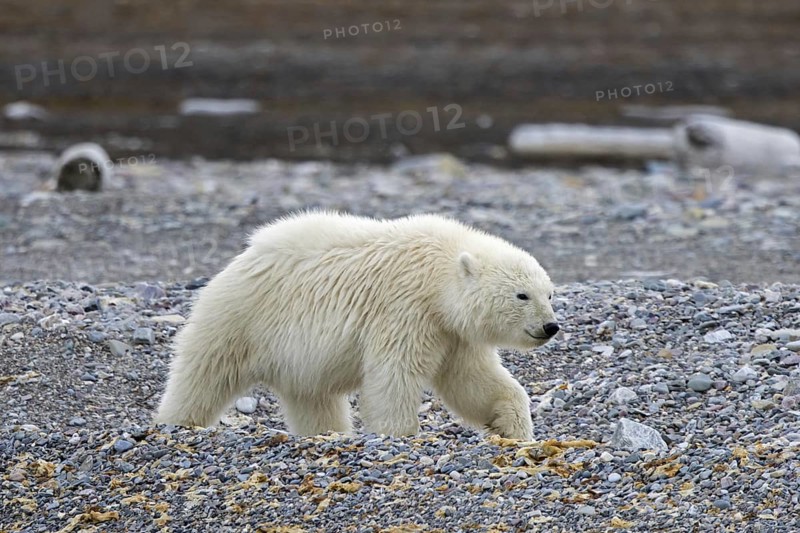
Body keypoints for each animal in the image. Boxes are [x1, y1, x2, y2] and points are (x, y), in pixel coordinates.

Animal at [154, 212, 559, 439]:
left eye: (550, 293)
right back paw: (176, 421)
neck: (437, 271)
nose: (550, 326)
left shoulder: (452, 331)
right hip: (240, 318)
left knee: (313, 399)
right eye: (522, 295)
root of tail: (238, 261)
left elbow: (471, 380)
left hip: (295, 359)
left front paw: (510, 424)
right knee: (203, 374)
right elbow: (395, 374)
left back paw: (326, 433)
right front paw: (398, 433)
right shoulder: (405, 309)